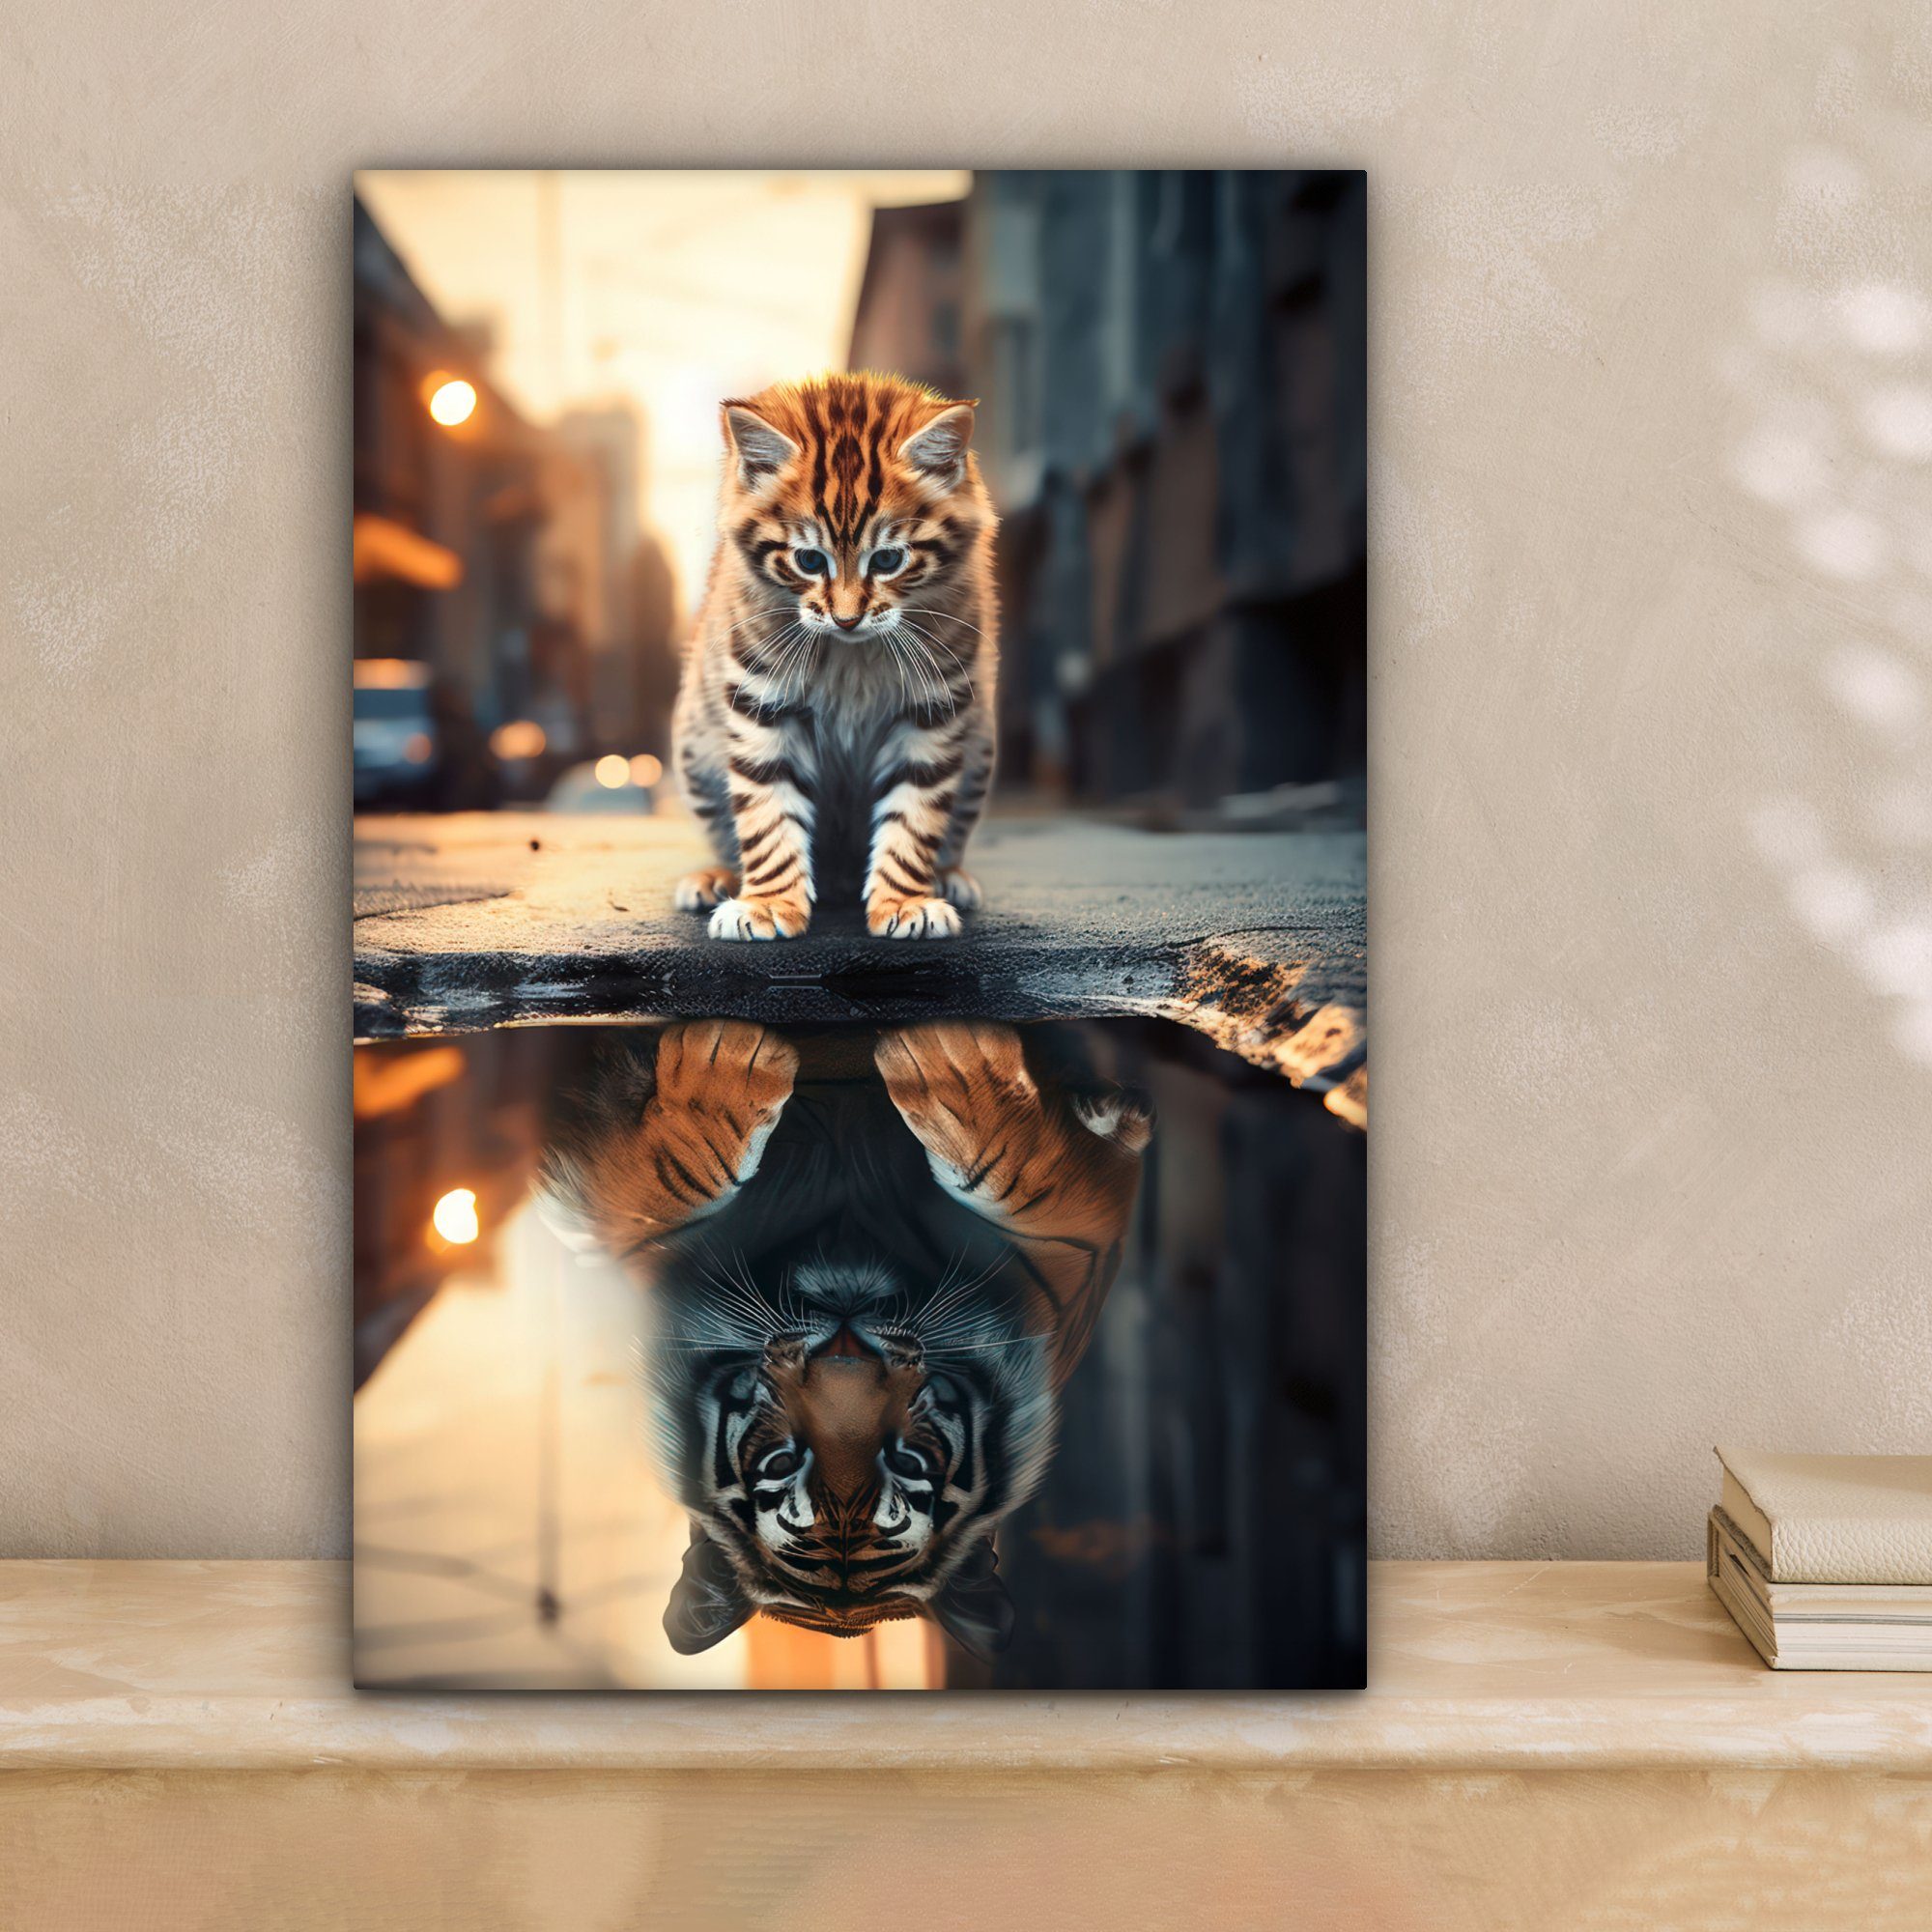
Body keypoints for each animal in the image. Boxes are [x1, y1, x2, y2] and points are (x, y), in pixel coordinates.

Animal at [539, 1018, 1150, 1663]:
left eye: (908, 1461)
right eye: (781, 1461)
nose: (845, 1360)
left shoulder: (1074, 1262)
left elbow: (1030, 1188)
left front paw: (945, 1061)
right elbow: (660, 1191)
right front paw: (726, 1065)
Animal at [669, 371, 999, 942]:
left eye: (887, 560)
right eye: (808, 560)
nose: (846, 619)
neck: (852, 654)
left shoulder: (935, 707)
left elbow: (914, 817)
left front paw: (905, 901)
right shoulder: (761, 700)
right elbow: (767, 816)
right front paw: (768, 903)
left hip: (980, 750)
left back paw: (949, 877)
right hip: (693, 748)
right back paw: (717, 879)